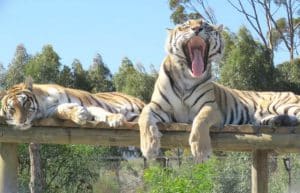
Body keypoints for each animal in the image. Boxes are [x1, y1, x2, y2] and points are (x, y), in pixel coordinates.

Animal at [0, 78, 145, 130]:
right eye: (12, 109)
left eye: (25, 103)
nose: (21, 122)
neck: (42, 105)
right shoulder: (53, 111)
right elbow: (63, 111)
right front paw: (79, 114)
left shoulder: (88, 103)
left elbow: (101, 111)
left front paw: (115, 119)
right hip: (134, 116)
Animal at [139, 18, 300, 163]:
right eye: (186, 25)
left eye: (205, 25)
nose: (196, 29)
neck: (186, 77)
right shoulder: (157, 106)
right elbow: (144, 117)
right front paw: (149, 148)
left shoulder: (212, 107)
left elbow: (201, 119)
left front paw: (201, 151)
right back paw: (278, 121)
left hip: (284, 105)